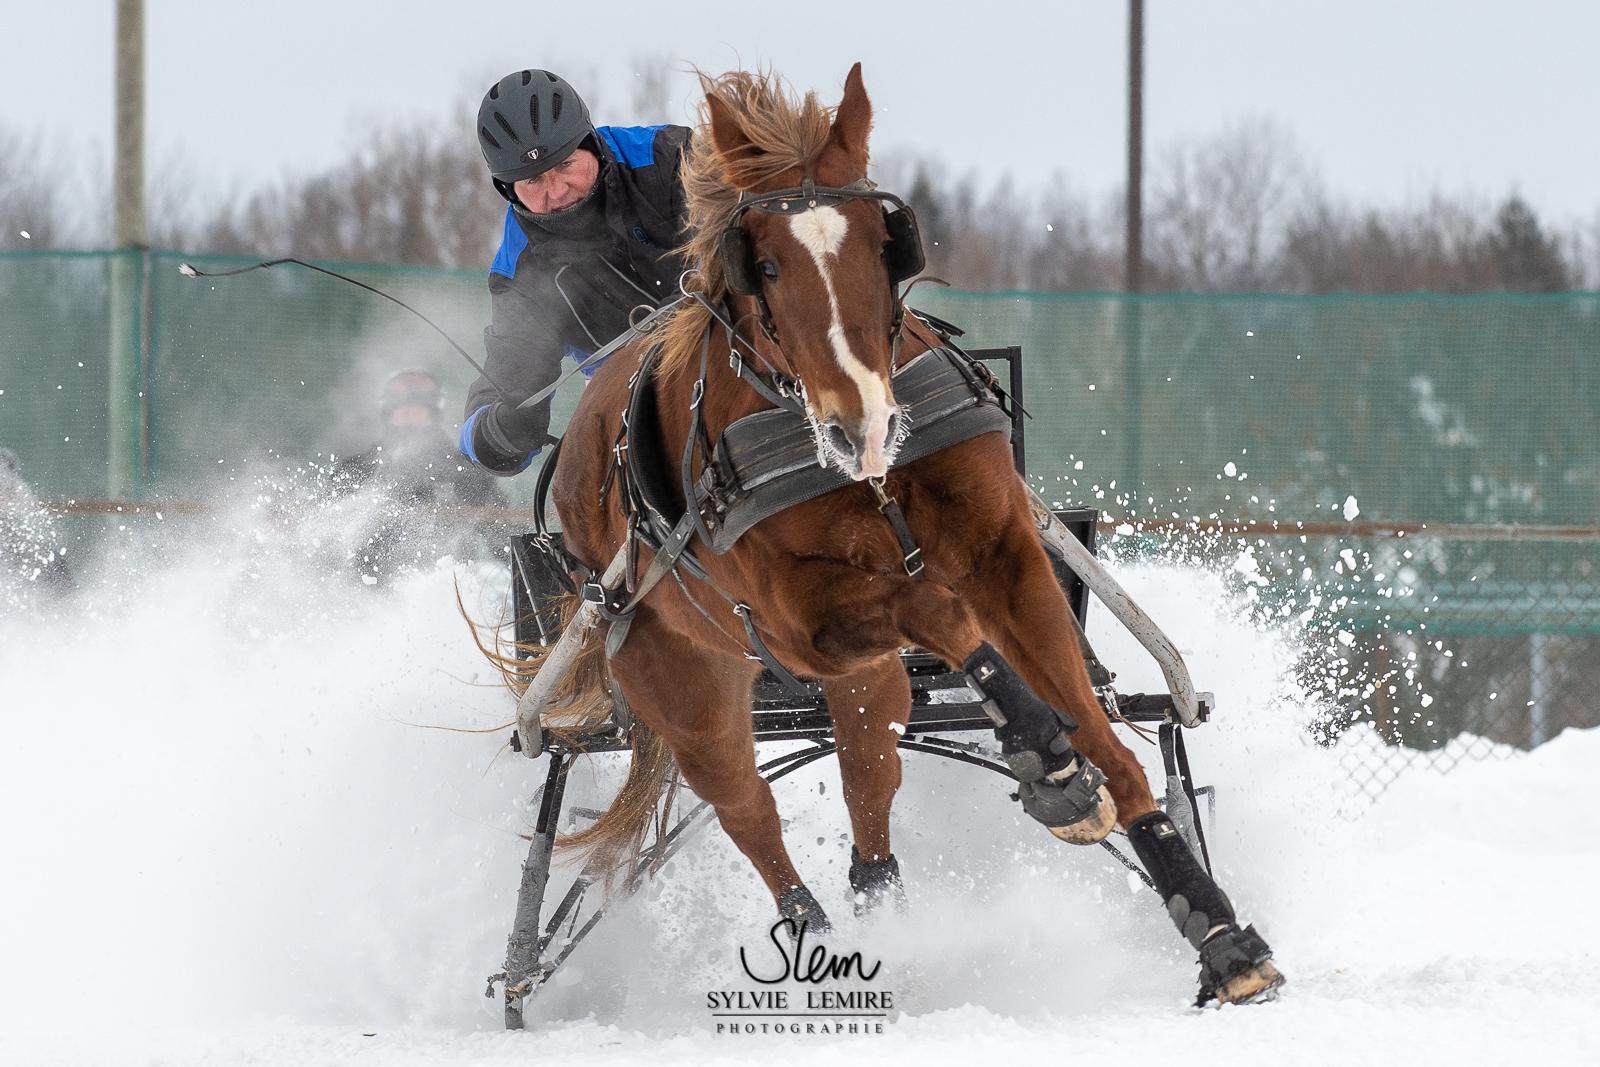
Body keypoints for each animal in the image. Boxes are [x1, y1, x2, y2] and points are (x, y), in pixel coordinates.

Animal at [544, 64, 1280, 1004]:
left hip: (862, 678)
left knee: (870, 771)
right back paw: (816, 943)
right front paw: (1049, 762)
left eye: (880, 245)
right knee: (750, 810)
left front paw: (1214, 925)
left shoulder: (1004, 557)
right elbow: (941, 609)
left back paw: (882, 907)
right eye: (766, 264)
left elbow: (1103, 732)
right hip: (683, 679)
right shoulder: (799, 623)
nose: (861, 423)